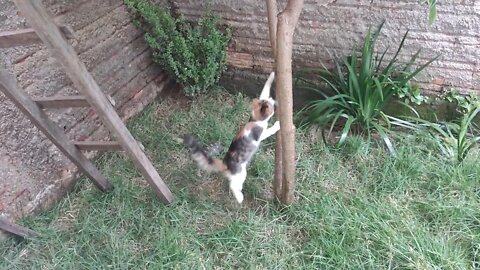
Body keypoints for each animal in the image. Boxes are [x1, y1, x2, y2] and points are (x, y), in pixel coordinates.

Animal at [185, 71, 282, 202]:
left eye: (269, 99)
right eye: (271, 105)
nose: (273, 100)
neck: (255, 120)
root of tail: (225, 162)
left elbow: (265, 88)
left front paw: (271, 75)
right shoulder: (259, 133)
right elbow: (269, 130)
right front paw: (277, 125)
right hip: (240, 173)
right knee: (233, 185)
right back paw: (240, 197)